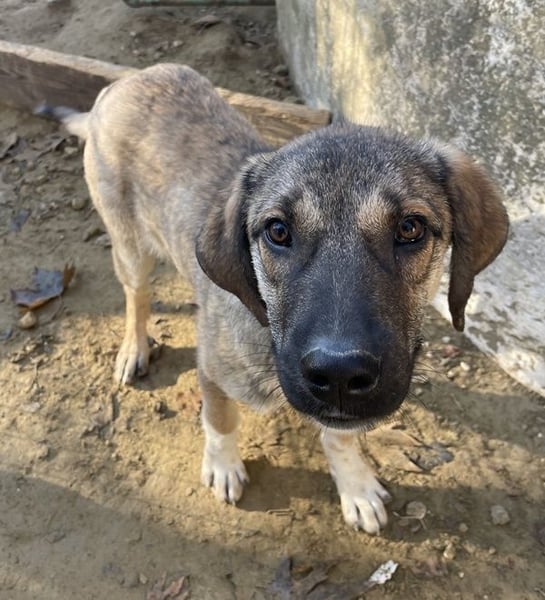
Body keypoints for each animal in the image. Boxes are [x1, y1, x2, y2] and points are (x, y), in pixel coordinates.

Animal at [43, 63, 508, 534]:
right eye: (278, 232)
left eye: (411, 228)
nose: (339, 374)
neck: (265, 331)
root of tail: (125, 82)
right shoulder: (213, 371)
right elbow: (221, 421)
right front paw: (223, 466)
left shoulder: (343, 411)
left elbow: (340, 438)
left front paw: (355, 485)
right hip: (130, 246)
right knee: (135, 296)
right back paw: (134, 348)